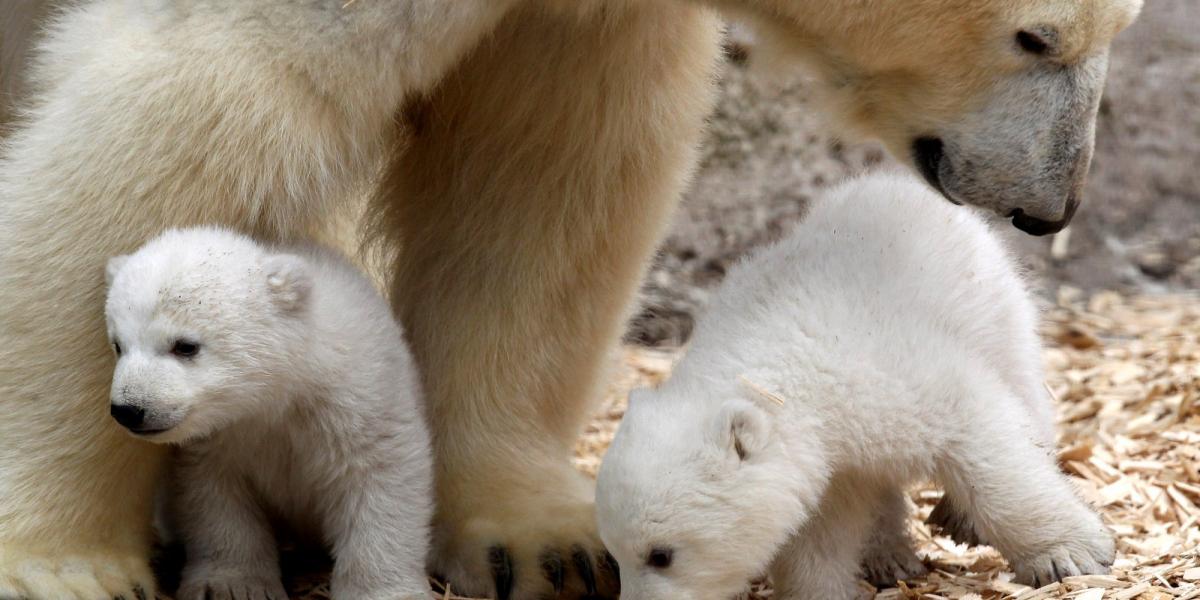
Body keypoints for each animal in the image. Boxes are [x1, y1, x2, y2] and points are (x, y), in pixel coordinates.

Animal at [0, 1, 1137, 600]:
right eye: (1036, 36)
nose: (1050, 203)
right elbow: (190, 104)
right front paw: (62, 564)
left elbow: (546, 154)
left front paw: (534, 541)